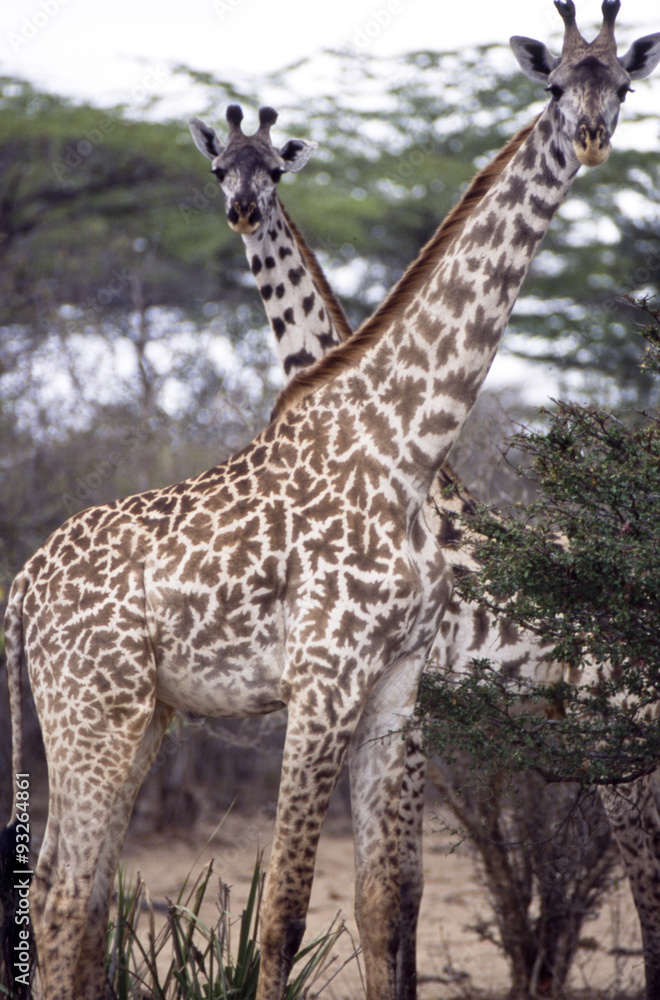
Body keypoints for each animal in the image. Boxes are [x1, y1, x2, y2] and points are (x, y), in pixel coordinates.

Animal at [4, 5, 660, 1000]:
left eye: (621, 84)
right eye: (554, 84)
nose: (589, 137)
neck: (407, 444)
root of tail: (20, 591)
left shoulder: (395, 686)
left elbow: (386, 902)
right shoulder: (325, 679)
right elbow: (288, 913)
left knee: (67, 895)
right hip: (97, 713)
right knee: (66, 896)